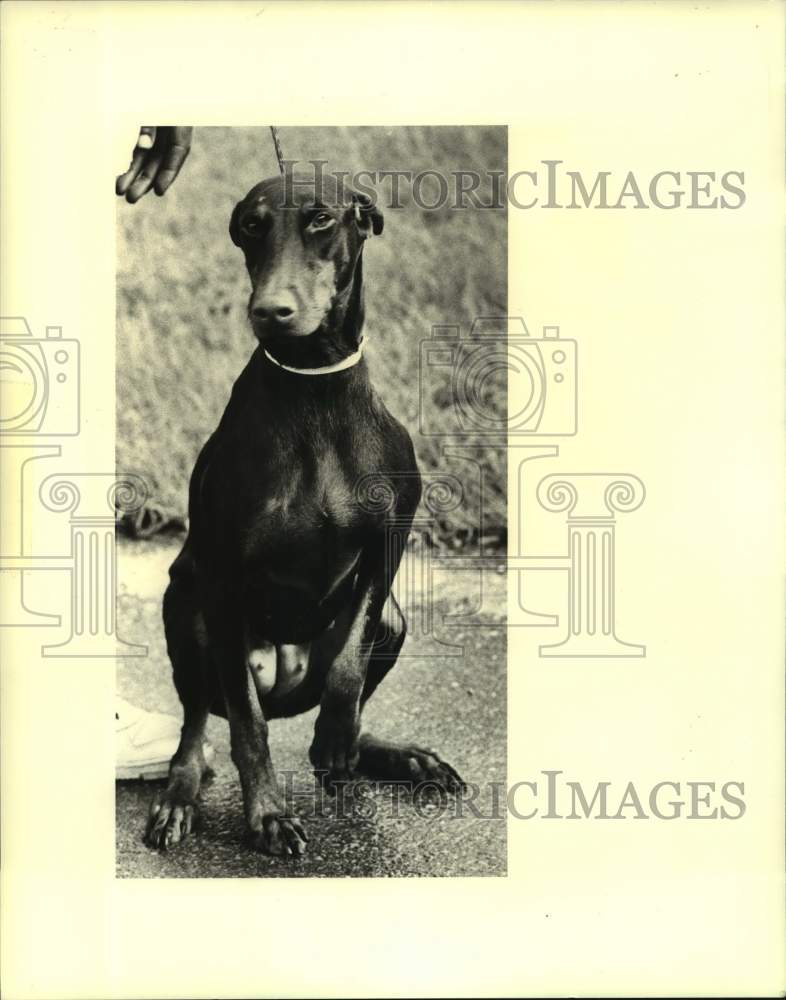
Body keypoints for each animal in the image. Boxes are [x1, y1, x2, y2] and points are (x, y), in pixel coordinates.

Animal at [145, 176, 466, 856]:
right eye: (250, 225)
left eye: (320, 219)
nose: (271, 310)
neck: (313, 384)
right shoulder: (221, 576)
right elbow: (247, 727)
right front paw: (267, 813)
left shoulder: (388, 543)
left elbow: (348, 668)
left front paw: (335, 741)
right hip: (187, 611)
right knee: (199, 728)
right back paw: (180, 794)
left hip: (394, 620)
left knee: (353, 692)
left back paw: (388, 754)